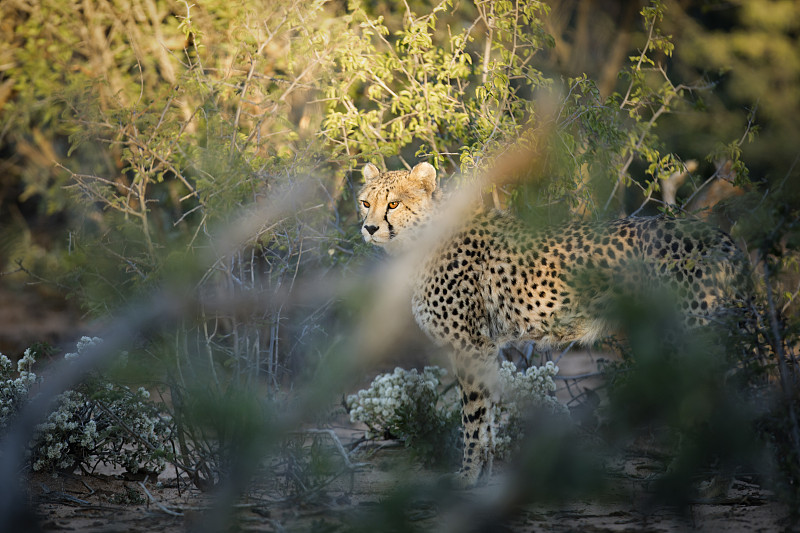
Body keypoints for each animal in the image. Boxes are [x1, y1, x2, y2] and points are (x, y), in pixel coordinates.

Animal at [356, 160, 752, 484]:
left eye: (393, 204)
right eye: (365, 203)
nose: (370, 228)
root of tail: (721, 236)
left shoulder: (469, 345)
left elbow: (472, 418)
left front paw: (466, 476)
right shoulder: (487, 346)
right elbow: (488, 417)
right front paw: (483, 475)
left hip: (684, 334)